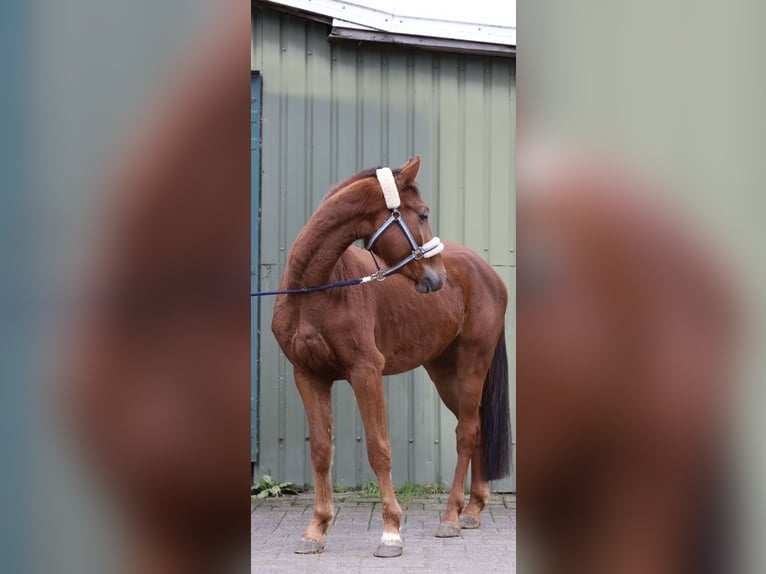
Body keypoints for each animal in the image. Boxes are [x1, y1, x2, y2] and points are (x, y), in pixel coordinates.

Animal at [270, 156, 510, 560]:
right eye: (423, 213)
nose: (437, 278)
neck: (316, 289)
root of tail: (489, 274)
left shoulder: (366, 372)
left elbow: (379, 449)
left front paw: (391, 533)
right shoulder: (308, 375)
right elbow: (321, 450)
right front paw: (316, 530)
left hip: (472, 364)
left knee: (466, 432)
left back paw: (450, 517)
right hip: (444, 372)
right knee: (475, 425)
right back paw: (472, 510)